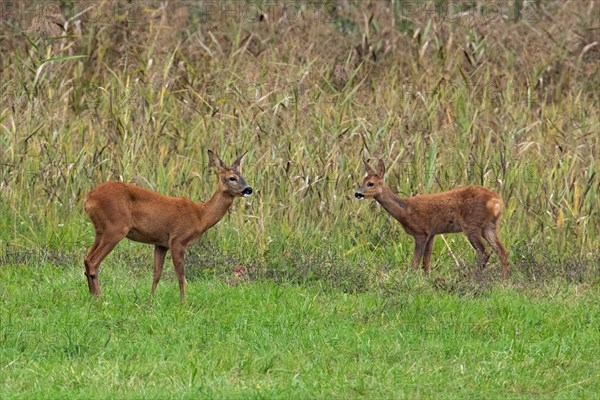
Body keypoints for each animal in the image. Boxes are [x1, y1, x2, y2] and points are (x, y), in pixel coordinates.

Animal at [84, 150, 253, 300]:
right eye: (232, 178)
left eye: (243, 176)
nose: (248, 189)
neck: (200, 216)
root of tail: (88, 198)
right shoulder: (178, 239)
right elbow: (181, 276)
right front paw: (184, 304)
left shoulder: (161, 244)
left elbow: (156, 274)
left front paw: (150, 301)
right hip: (116, 227)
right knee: (93, 261)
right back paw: (99, 298)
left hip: (100, 230)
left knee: (86, 258)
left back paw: (93, 296)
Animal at [354, 159, 508, 278]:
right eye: (361, 181)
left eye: (371, 183)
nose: (357, 194)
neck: (405, 211)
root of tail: (497, 202)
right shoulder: (432, 233)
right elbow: (426, 262)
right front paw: (427, 280)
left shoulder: (421, 232)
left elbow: (415, 263)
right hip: (490, 226)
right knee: (502, 251)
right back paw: (503, 283)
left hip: (471, 225)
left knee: (484, 252)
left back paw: (474, 278)